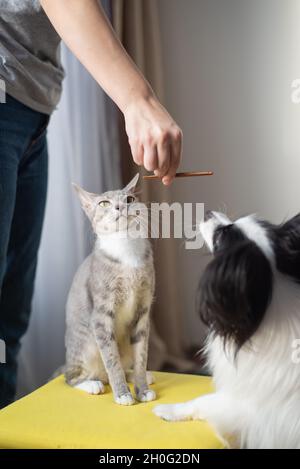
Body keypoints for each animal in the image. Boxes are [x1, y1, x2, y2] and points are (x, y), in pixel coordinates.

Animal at [64, 174, 156, 404]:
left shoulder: (143, 310)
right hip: (86, 344)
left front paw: (142, 388)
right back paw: (91, 384)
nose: (119, 206)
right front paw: (123, 394)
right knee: (71, 377)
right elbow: (111, 360)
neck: (126, 252)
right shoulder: (101, 315)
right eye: (103, 203)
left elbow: (141, 356)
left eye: (130, 199)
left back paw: (140, 375)